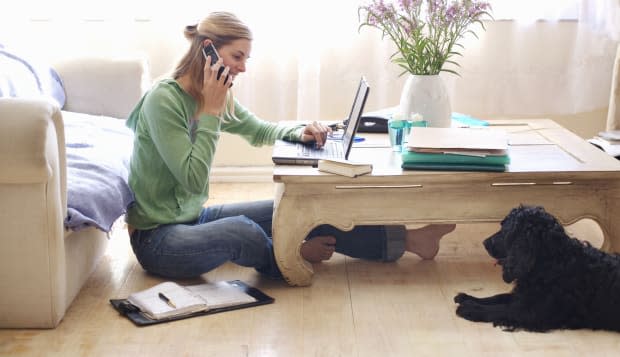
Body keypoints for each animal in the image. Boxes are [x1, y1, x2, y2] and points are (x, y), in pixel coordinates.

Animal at [452, 204, 620, 332]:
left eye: (506, 230)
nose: (485, 243)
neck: (554, 263)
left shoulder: (532, 312)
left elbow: (500, 309)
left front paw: (470, 308)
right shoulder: (524, 296)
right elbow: (497, 297)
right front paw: (468, 298)